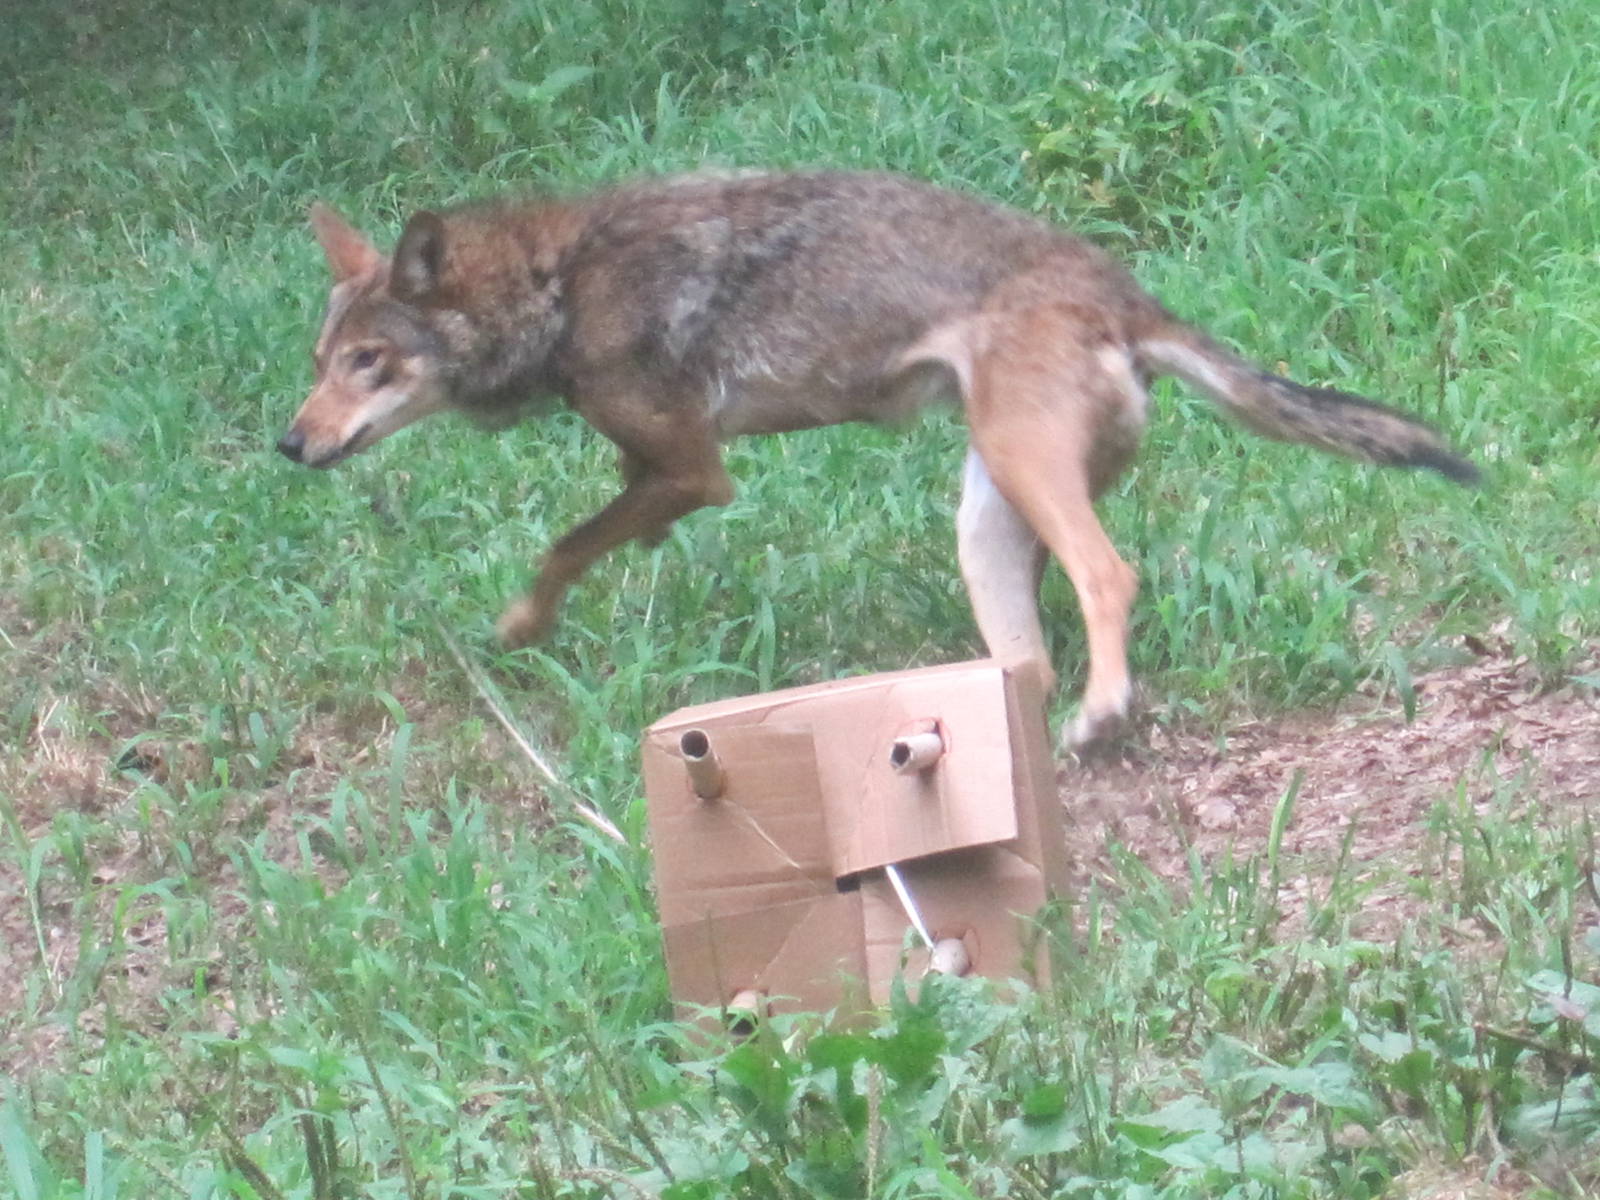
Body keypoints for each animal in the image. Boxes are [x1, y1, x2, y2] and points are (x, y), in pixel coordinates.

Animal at [278, 169, 1477, 748]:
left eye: (371, 363)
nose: (289, 443)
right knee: (1024, 667)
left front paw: (523, 630)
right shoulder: (660, 475)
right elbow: (593, 536)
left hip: (1022, 475)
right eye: (322, 361)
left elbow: (562, 548)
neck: (556, 288)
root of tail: (1129, 295)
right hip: (985, 525)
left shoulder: (694, 470)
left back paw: (1104, 715)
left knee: (1111, 577)